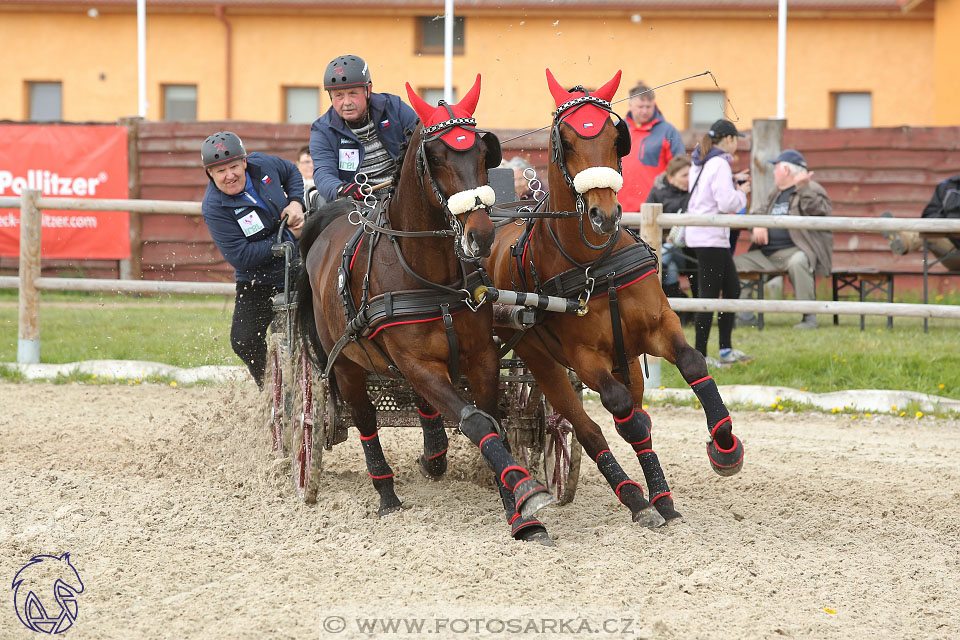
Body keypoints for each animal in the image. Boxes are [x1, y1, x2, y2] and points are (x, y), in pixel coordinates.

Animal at [296, 76, 556, 544]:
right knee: (365, 419)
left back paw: (434, 455)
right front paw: (526, 494)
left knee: (424, 408)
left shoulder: (479, 356)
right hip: (346, 363)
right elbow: (476, 422)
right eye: (435, 157)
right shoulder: (415, 361)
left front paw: (519, 510)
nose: (481, 235)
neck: (426, 273)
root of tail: (334, 217)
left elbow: (493, 423)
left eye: (482, 151)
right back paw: (386, 494)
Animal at [488, 71, 744, 528]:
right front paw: (642, 499)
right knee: (586, 426)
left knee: (636, 416)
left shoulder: (658, 327)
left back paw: (661, 497)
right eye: (567, 140)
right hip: (542, 361)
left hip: (627, 361)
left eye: (613, 135)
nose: (603, 215)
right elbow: (618, 411)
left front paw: (725, 446)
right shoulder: (586, 358)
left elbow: (693, 364)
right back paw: (636, 497)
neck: (595, 266)